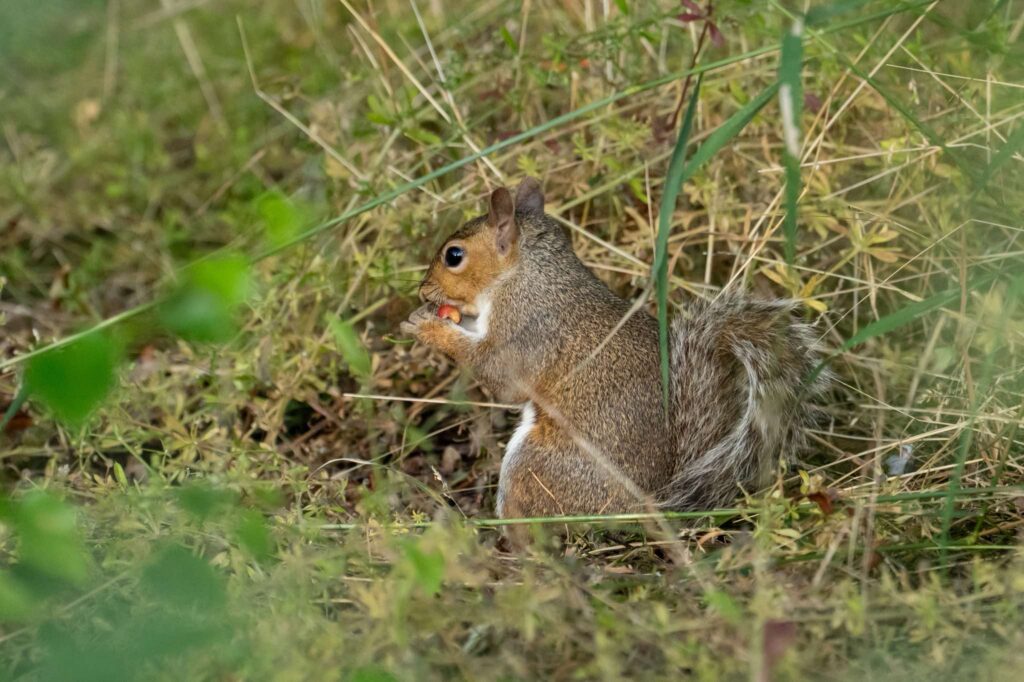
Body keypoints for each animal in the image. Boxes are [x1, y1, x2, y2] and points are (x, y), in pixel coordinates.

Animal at [402, 177, 827, 539]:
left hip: (535, 464)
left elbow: (500, 377)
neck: (525, 275)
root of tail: (641, 509)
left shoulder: (526, 331)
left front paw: (429, 328)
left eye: (454, 255)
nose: (422, 290)